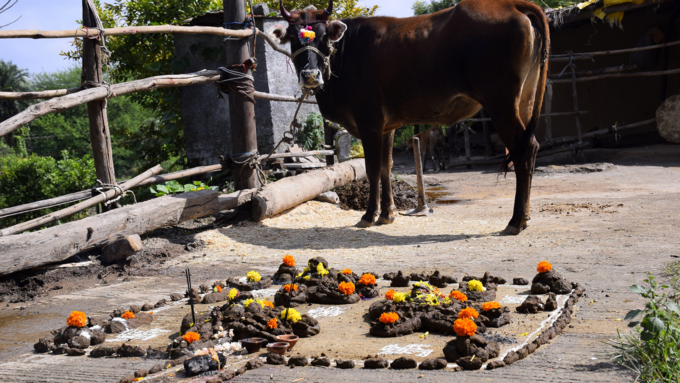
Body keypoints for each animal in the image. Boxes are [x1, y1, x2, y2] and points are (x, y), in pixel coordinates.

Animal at [268, 0, 548, 234]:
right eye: (293, 38)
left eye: (324, 36)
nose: (310, 75)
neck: (345, 54)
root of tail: (511, 4)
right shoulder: (387, 126)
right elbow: (386, 166)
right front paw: (387, 214)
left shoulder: (369, 121)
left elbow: (372, 168)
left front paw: (369, 215)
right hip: (524, 101)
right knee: (530, 148)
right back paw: (524, 216)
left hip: (501, 103)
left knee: (524, 151)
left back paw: (516, 220)